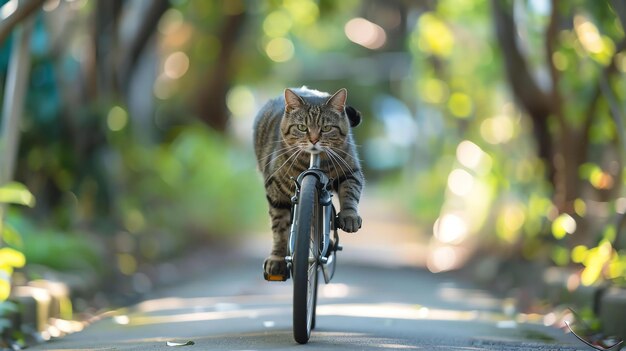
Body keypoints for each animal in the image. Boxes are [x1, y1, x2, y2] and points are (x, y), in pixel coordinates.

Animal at [252, 86, 364, 280]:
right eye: (302, 127)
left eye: (326, 128)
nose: (313, 140)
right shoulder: (276, 193)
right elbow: (280, 229)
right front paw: (278, 258)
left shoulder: (351, 172)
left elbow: (350, 193)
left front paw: (349, 216)